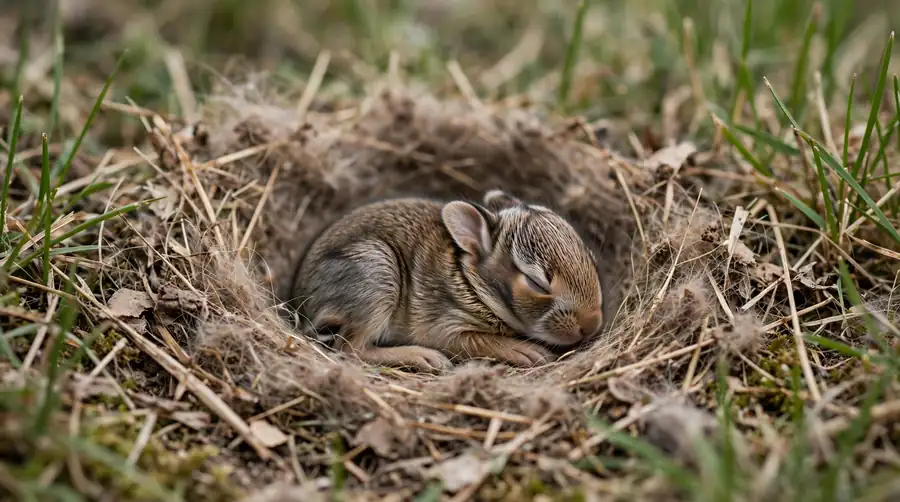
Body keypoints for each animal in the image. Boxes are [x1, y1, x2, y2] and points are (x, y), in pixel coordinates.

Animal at [287, 189, 604, 372]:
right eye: (536, 283)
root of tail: (299, 300)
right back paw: (425, 358)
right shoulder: (447, 325)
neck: (472, 283)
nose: (590, 326)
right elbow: (478, 342)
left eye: (590, 257)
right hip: (376, 273)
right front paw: (528, 352)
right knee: (350, 350)